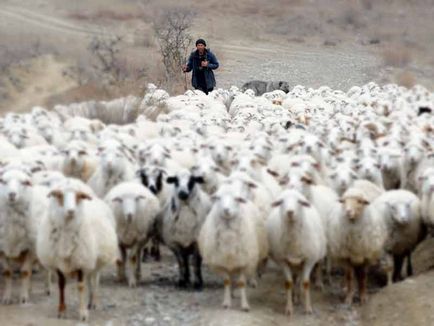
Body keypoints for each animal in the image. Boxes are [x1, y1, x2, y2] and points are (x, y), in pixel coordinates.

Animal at [0, 169, 49, 304]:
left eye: (24, 182)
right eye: (3, 181)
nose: (12, 194)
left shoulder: (30, 248)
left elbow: (25, 272)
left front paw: (23, 298)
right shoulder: (2, 249)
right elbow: (7, 273)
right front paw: (7, 298)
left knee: (46, 269)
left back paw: (47, 289)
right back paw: (30, 289)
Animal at [36, 180, 118, 322]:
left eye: (79, 196)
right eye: (60, 195)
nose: (71, 211)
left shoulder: (81, 261)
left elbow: (81, 286)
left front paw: (83, 313)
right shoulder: (58, 263)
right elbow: (61, 285)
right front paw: (62, 311)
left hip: (95, 259)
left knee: (95, 280)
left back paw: (94, 302)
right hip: (89, 260)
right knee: (90, 279)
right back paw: (90, 301)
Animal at [266, 188, 328, 316]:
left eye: (299, 202)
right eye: (281, 201)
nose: (290, 212)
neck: (294, 243)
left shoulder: (309, 260)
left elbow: (305, 283)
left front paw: (308, 308)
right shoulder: (283, 260)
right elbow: (289, 283)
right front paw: (289, 308)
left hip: (302, 262)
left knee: (299, 279)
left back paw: (299, 297)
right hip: (293, 263)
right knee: (295, 279)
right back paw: (295, 297)